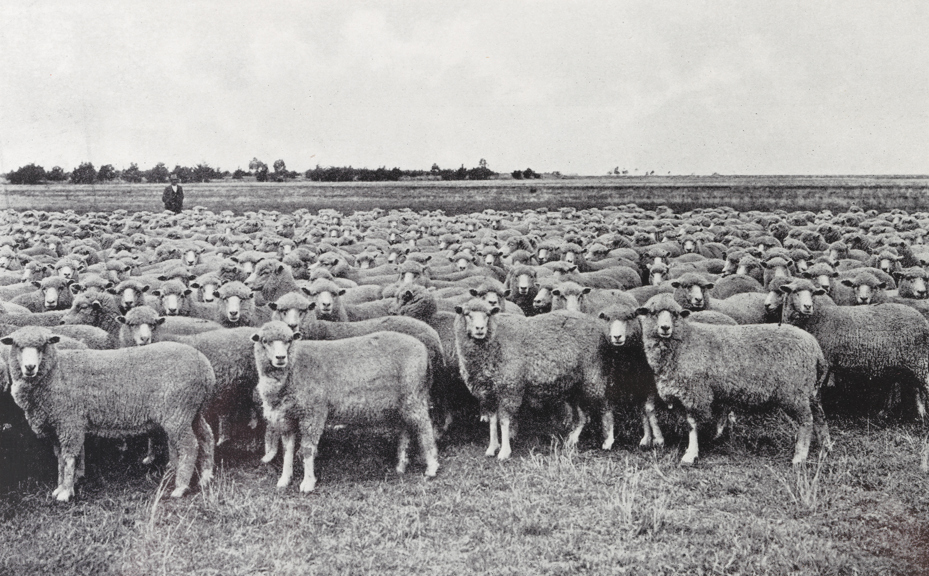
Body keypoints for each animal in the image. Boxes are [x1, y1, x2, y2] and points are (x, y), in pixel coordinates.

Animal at [2, 326, 215, 500]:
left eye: (43, 346)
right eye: (17, 346)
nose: (30, 367)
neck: (55, 372)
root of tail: (206, 368)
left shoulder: (69, 422)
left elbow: (69, 458)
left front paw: (65, 492)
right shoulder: (57, 425)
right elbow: (61, 459)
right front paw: (63, 486)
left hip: (178, 411)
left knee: (189, 445)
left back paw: (181, 487)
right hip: (193, 410)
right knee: (206, 436)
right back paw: (205, 476)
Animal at [252, 321, 439, 492]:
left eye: (289, 340)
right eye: (264, 341)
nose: (280, 358)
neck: (295, 366)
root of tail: (423, 348)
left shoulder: (313, 412)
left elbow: (307, 449)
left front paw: (308, 483)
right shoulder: (287, 417)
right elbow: (287, 450)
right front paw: (285, 479)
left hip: (413, 396)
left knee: (425, 428)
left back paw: (431, 468)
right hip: (403, 402)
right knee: (406, 429)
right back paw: (401, 465)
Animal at [454, 299, 612, 459]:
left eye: (487, 314)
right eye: (467, 314)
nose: (480, 328)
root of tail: (598, 326)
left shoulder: (510, 388)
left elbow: (504, 421)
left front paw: (504, 451)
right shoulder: (487, 393)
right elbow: (492, 421)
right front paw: (492, 447)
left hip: (593, 375)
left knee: (605, 406)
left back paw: (608, 441)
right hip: (573, 385)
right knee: (582, 416)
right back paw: (571, 440)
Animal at [635, 293, 831, 466]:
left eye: (675, 314)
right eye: (652, 313)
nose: (665, 328)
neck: (683, 341)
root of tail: (815, 348)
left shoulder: (696, 393)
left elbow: (692, 425)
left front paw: (690, 455)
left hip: (794, 392)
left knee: (807, 421)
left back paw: (800, 457)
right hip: (810, 391)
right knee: (820, 416)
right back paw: (826, 446)